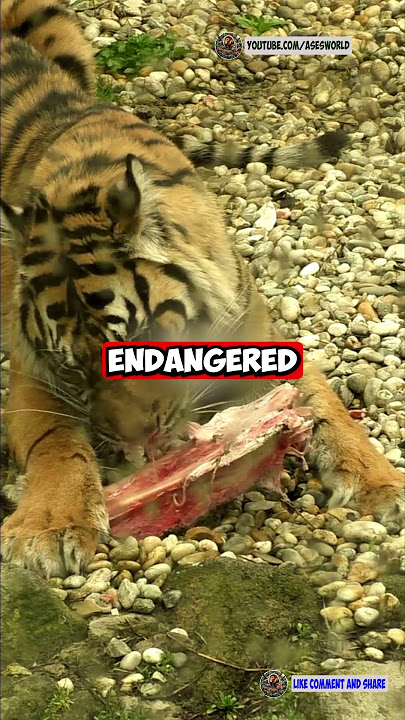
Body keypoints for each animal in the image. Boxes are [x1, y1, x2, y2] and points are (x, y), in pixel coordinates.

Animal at [1, 0, 403, 579]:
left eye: (138, 341)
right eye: (73, 369)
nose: (140, 444)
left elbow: (327, 409)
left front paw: (379, 483)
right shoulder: (32, 376)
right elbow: (54, 443)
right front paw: (50, 527)